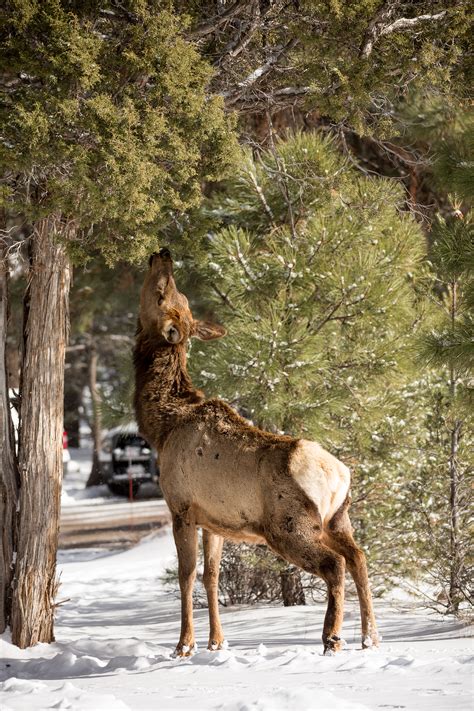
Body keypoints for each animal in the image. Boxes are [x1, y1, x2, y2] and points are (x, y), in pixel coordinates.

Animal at [133, 248, 379, 657]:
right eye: (176, 296)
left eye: (162, 292)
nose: (163, 254)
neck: (161, 425)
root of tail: (338, 474)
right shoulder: (212, 518)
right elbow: (212, 575)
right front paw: (217, 642)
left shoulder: (180, 506)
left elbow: (186, 575)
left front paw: (184, 645)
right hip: (338, 518)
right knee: (358, 556)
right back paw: (370, 636)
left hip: (288, 526)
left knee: (335, 564)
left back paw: (332, 637)